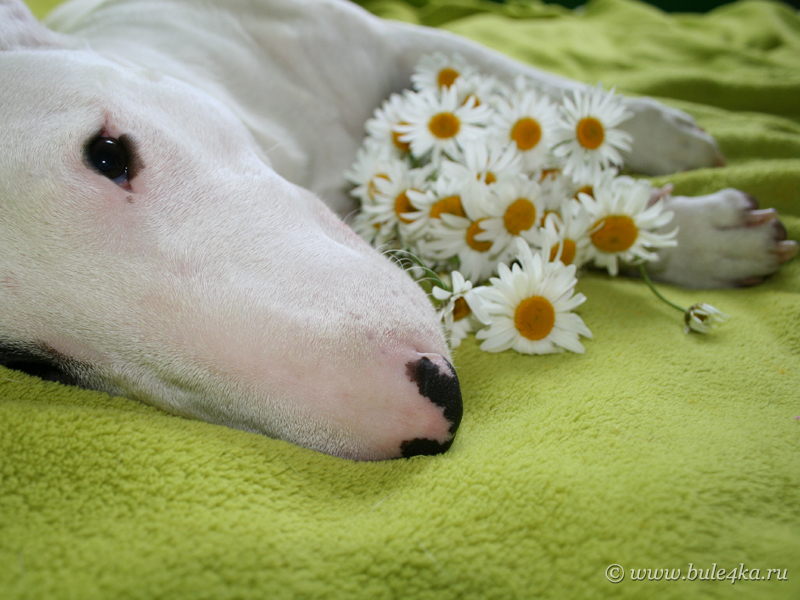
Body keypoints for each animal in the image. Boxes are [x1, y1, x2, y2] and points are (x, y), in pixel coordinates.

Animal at [1, 0, 792, 460]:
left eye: (109, 153)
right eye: (32, 365)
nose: (437, 412)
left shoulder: (378, 38)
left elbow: (524, 87)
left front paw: (677, 163)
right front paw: (712, 235)